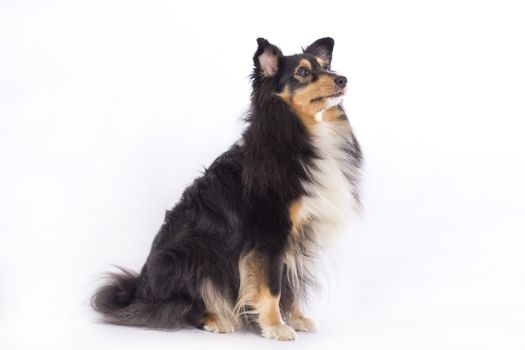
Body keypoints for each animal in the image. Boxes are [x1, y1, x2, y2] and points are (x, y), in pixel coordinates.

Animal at [91, 37, 360, 340]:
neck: (298, 131)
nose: (342, 79)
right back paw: (215, 319)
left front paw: (297, 319)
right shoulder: (270, 234)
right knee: (181, 307)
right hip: (194, 251)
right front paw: (275, 326)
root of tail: (138, 293)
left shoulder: (294, 238)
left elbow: (289, 284)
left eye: (326, 67)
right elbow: (272, 286)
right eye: (302, 72)